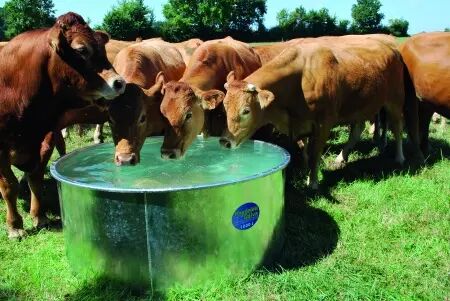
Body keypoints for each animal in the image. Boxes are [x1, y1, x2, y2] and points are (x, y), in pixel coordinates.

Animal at [0, 11, 125, 238]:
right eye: (81, 50)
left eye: (103, 49)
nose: (119, 83)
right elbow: (8, 186)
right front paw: (15, 226)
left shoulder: (45, 139)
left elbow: (35, 178)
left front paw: (39, 216)